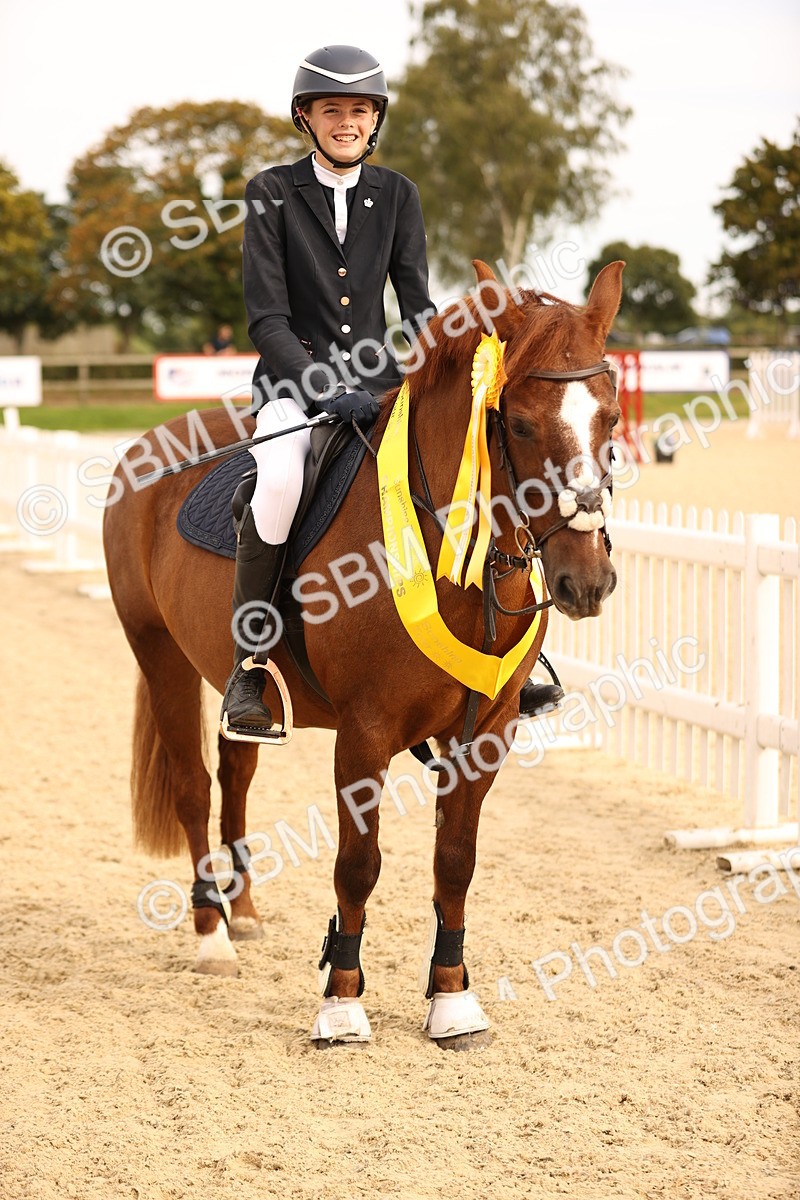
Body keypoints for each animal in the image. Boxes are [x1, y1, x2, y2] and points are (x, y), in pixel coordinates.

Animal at [103, 259, 623, 1048]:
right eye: (520, 424)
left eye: (611, 420)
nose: (586, 582)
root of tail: (146, 446)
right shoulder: (365, 732)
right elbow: (358, 864)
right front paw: (341, 1002)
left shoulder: (487, 732)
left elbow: (455, 862)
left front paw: (452, 998)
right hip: (158, 653)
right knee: (194, 786)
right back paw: (212, 935)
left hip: (241, 679)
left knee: (237, 771)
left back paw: (243, 912)